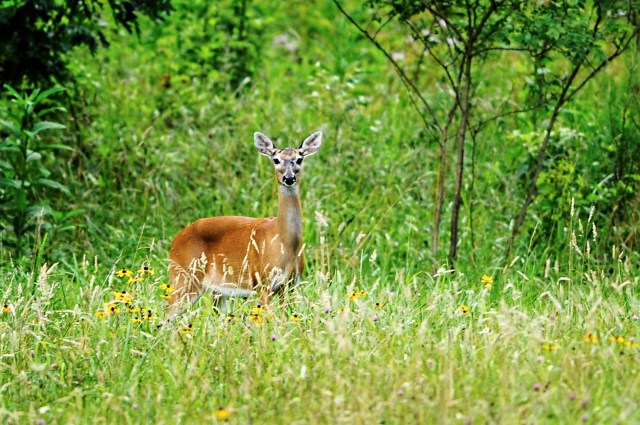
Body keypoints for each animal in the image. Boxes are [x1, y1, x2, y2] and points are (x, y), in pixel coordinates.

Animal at [167, 130, 323, 315]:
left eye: (299, 159)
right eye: (276, 160)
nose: (289, 178)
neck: (283, 242)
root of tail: (174, 243)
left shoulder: (290, 284)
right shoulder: (262, 281)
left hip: (216, 291)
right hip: (183, 278)